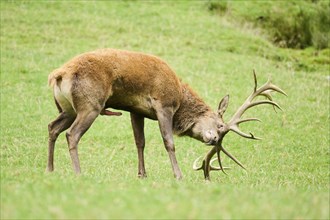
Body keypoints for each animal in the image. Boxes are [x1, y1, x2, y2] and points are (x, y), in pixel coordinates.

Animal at [47, 49, 286, 180]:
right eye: (220, 126)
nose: (214, 139)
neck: (180, 97)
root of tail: (58, 75)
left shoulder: (136, 111)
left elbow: (139, 142)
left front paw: (142, 175)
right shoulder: (163, 105)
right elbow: (169, 142)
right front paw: (178, 175)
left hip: (69, 108)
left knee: (52, 127)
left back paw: (50, 169)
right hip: (91, 104)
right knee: (72, 134)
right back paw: (78, 173)